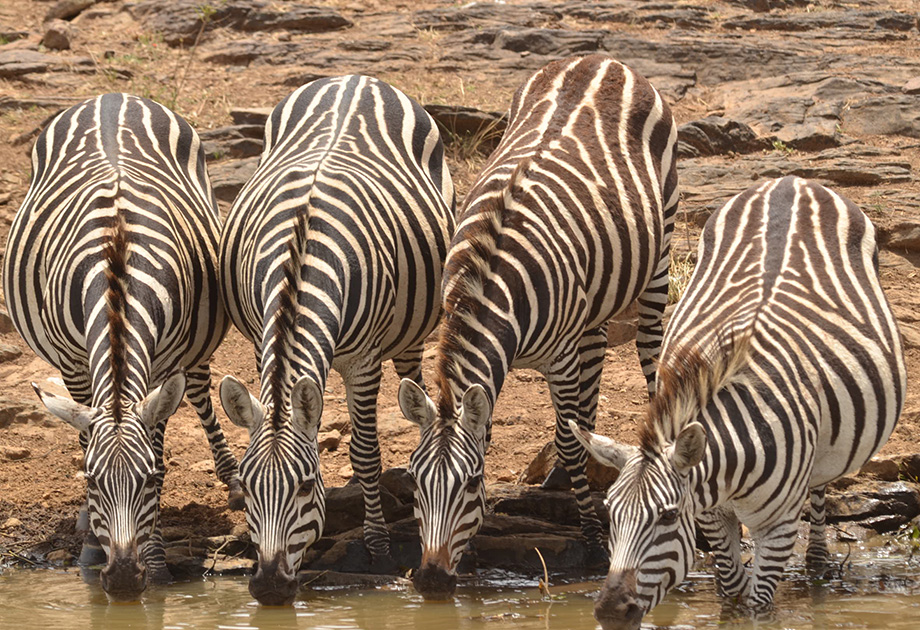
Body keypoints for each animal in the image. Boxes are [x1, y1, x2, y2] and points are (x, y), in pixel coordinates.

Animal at [4, 92, 241, 604]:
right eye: (92, 481)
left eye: (150, 480)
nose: (126, 579)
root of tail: (113, 97)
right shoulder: (73, 362)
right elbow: (83, 432)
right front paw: (93, 548)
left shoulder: (164, 362)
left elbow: (159, 442)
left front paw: (155, 563)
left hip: (195, 344)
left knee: (199, 389)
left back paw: (233, 478)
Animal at [219, 74, 456, 608]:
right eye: (248, 486)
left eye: (307, 487)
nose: (268, 587)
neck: (302, 255)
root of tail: (355, 79)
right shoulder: (262, 341)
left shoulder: (363, 361)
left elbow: (364, 452)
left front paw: (378, 547)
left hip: (413, 323)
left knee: (411, 376)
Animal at [398, 55, 680, 604]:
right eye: (415, 484)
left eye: (470, 484)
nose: (431, 580)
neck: (490, 277)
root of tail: (601, 59)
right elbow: (494, 430)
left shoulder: (561, 357)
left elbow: (568, 439)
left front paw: (592, 540)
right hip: (595, 299)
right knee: (595, 363)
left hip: (661, 251)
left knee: (649, 349)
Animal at [576, 175, 904, 628]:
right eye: (610, 513)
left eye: (667, 516)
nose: (610, 612)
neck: (731, 470)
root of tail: (792, 181)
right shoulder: (710, 513)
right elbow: (733, 587)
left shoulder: (780, 527)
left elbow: (758, 605)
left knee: (820, 487)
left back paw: (819, 564)